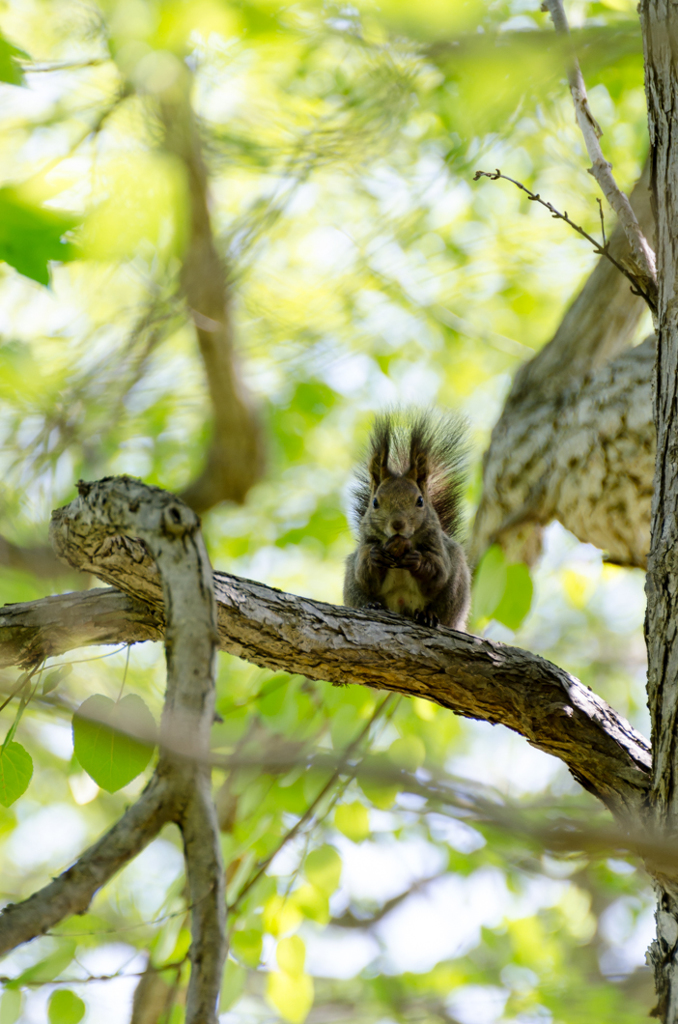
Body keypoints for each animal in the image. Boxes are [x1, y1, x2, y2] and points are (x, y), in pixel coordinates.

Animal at [346, 411, 473, 626]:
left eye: (420, 501)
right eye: (375, 502)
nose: (398, 524)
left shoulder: (437, 546)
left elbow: (438, 572)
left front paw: (417, 560)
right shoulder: (366, 544)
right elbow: (363, 572)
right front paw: (375, 556)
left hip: (455, 588)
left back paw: (428, 615)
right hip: (351, 585)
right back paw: (371, 605)